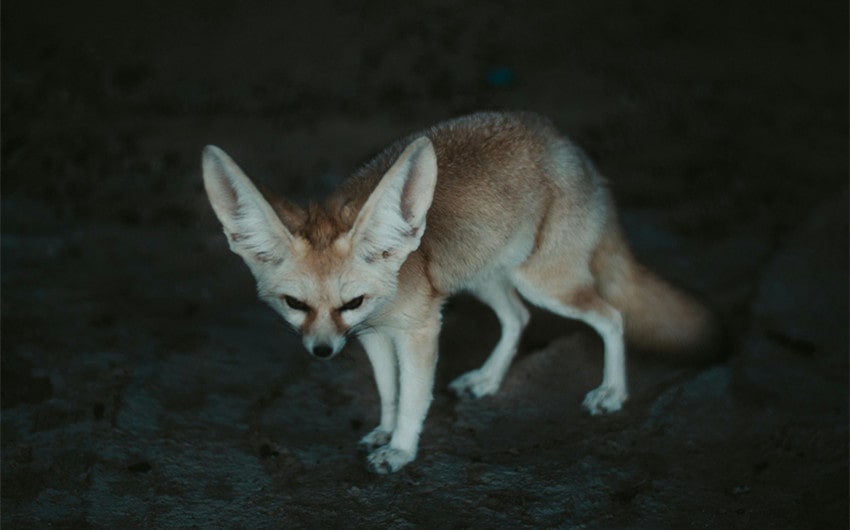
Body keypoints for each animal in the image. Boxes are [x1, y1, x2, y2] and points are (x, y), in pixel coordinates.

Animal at [204, 110, 716, 470]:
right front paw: (385, 430)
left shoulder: (420, 329)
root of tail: (571, 148)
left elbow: (413, 396)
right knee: (518, 318)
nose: (322, 352)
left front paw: (401, 449)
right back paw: (488, 379)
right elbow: (388, 391)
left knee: (612, 316)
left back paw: (612, 392)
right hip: (486, 278)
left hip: (544, 284)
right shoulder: (373, 335)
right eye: (295, 304)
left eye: (352, 302)